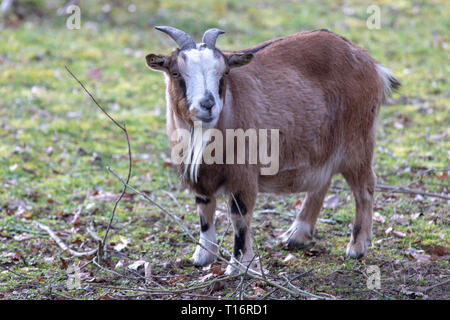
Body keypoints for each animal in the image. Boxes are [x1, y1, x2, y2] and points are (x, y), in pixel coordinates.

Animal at [145, 25, 400, 276]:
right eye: (176, 73)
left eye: (224, 73)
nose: (207, 104)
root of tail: (371, 63)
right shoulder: (199, 176)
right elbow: (205, 211)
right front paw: (203, 256)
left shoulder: (244, 174)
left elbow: (239, 217)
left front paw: (239, 265)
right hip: (323, 145)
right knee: (323, 180)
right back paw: (297, 235)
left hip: (357, 141)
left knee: (364, 186)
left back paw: (357, 246)